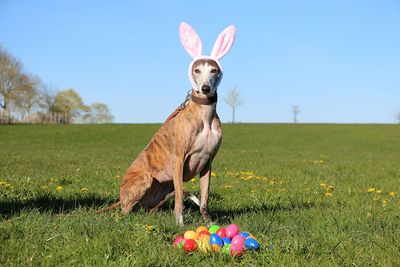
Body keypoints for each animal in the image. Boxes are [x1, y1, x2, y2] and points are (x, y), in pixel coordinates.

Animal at [97, 22, 234, 226]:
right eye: (197, 70)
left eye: (214, 70)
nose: (205, 88)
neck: (205, 115)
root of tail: (121, 198)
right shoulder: (178, 160)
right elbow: (179, 199)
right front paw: (180, 223)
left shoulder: (207, 163)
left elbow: (204, 199)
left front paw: (209, 223)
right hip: (145, 179)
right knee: (127, 211)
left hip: (162, 191)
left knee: (150, 208)